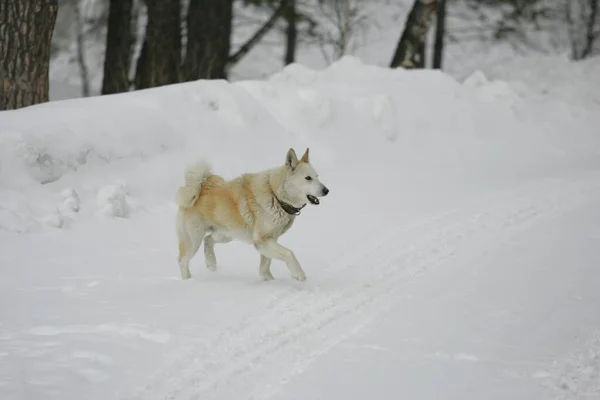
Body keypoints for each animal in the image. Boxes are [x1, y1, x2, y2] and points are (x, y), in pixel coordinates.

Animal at [176, 147, 330, 282]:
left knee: (208, 240)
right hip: (194, 240)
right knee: (183, 260)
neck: (276, 196)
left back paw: (211, 263)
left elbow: (266, 264)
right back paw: (188, 280)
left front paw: (268, 280)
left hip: (227, 234)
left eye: (317, 176)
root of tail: (199, 188)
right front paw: (298, 274)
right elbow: (288, 253)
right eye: (308, 178)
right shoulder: (262, 240)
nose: (326, 190)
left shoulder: (270, 240)